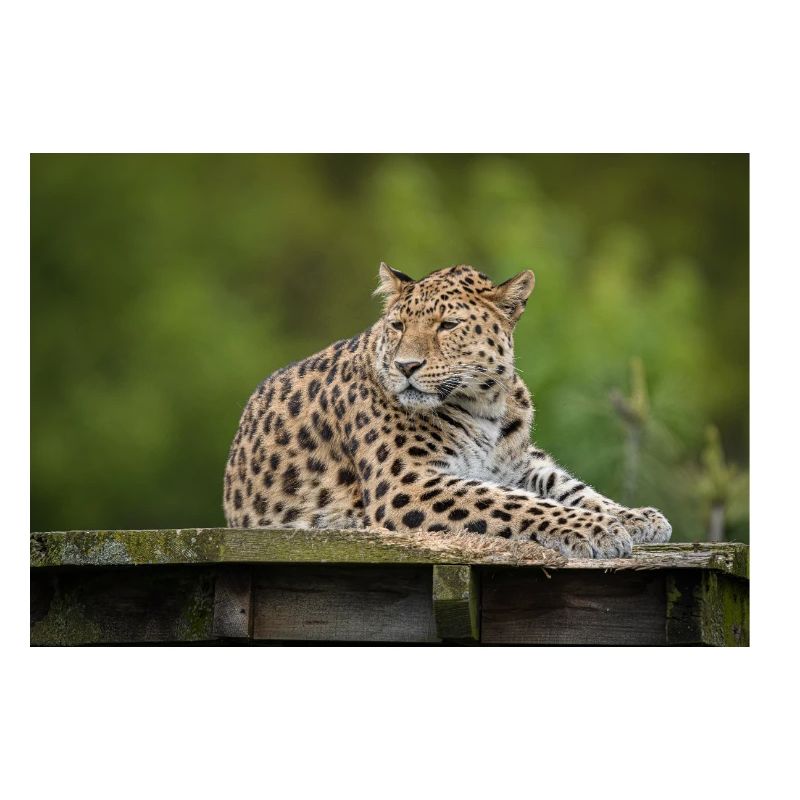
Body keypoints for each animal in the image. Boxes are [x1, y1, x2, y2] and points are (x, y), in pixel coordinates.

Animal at [223, 263, 672, 559]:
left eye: (448, 325)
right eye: (398, 326)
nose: (406, 366)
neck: (487, 404)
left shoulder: (518, 462)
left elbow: (567, 487)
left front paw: (635, 517)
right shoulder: (406, 483)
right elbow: (515, 502)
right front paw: (600, 529)